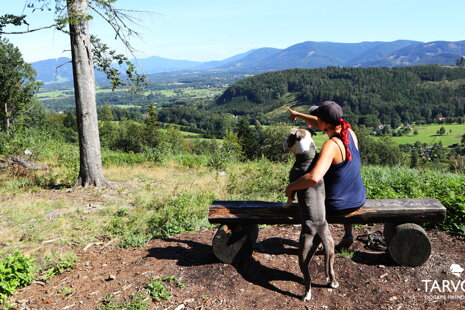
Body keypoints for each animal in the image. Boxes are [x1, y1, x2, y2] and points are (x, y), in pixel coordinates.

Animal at [282, 128, 338, 300]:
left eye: (289, 136)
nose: (283, 140)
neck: (307, 156)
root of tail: (319, 229)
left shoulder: (292, 182)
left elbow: (290, 194)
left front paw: (286, 204)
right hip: (330, 247)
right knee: (331, 267)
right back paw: (333, 283)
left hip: (304, 248)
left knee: (307, 274)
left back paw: (306, 294)